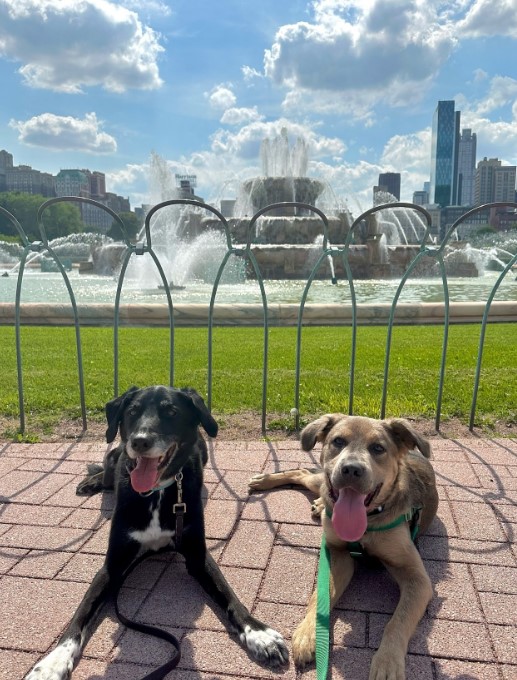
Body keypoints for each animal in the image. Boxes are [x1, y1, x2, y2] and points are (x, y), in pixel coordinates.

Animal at [26, 386, 288, 676]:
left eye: (171, 411)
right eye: (132, 411)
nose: (140, 441)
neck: (157, 493)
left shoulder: (198, 556)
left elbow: (229, 596)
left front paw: (259, 635)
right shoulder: (111, 567)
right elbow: (79, 616)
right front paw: (52, 663)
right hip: (114, 455)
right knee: (105, 472)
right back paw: (90, 482)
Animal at [248, 414, 438, 680]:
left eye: (378, 448)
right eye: (338, 441)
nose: (351, 469)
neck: (368, 521)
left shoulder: (417, 579)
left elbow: (397, 622)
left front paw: (388, 661)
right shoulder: (337, 555)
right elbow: (319, 597)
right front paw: (308, 635)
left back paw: (317, 503)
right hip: (319, 480)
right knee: (303, 472)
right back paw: (266, 481)